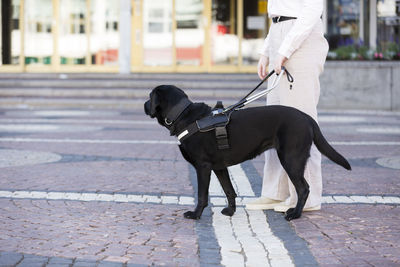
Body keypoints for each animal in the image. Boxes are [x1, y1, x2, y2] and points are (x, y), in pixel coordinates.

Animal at [144, 85, 350, 221]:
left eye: (149, 96)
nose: (145, 105)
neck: (185, 117)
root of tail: (306, 117)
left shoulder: (203, 167)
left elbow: (202, 195)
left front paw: (195, 214)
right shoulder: (219, 168)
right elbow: (229, 190)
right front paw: (230, 211)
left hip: (291, 159)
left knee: (304, 188)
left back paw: (295, 214)